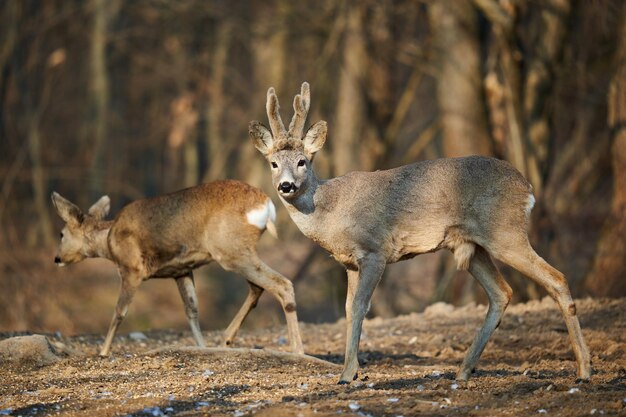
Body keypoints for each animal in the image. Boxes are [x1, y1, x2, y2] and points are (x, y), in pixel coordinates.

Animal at [52, 179, 302, 354]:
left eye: (61, 233)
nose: (56, 258)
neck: (109, 241)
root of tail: (266, 205)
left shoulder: (132, 268)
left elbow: (119, 311)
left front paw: (103, 352)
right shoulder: (182, 270)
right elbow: (192, 311)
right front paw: (202, 348)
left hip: (229, 249)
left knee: (281, 284)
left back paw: (297, 350)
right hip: (239, 251)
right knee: (258, 287)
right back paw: (226, 339)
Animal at [246, 82, 588, 384]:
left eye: (302, 161)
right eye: (273, 163)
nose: (286, 186)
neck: (329, 213)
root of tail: (526, 188)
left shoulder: (375, 251)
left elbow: (359, 307)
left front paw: (347, 375)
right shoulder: (349, 263)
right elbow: (347, 309)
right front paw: (348, 370)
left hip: (505, 232)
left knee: (557, 278)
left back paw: (584, 370)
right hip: (471, 246)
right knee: (502, 292)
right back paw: (463, 371)